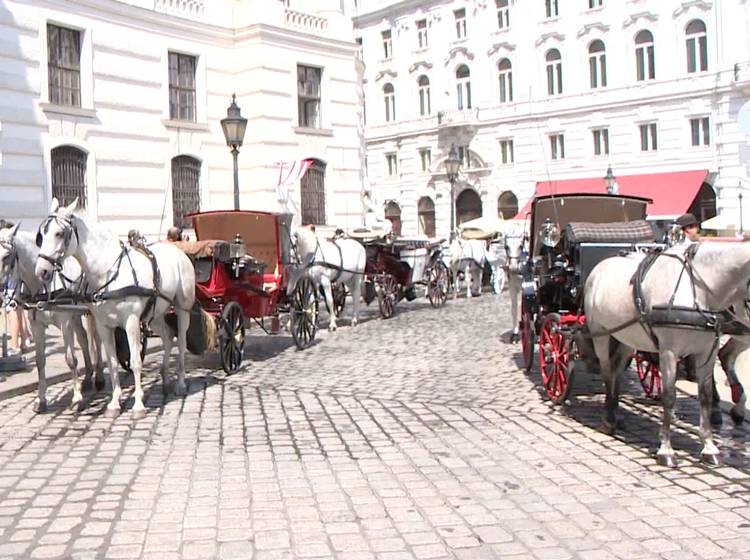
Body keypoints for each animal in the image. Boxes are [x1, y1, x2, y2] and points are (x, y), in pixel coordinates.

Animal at [0, 225, 104, 414]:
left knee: (98, 340)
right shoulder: (36, 325)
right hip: (75, 314)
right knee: (84, 339)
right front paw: (41, 400)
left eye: (6, 256)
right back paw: (87, 379)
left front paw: (77, 399)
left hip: (91, 312)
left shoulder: (65, 323)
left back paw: (99, 378)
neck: (44, 285)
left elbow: (71, 359)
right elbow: (40, 361)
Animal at [35, 199, 195, 418]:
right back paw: (165, 380)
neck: (107, 271)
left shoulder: (131, 322)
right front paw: (114, 403)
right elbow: (111, 362)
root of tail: (179, 252)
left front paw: (138, 405)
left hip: (182, 309)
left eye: (59, 233)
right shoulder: (104, 325)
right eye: (41, 235)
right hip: (155, 314)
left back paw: (180, 382)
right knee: (169, 337)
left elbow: (136, 361)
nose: (41, 271)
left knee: (181, 340)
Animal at [588, 243, 750, 466]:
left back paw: (615, 414)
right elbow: (669, 397)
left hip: (627, 338)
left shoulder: (707, 351)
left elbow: (705, 397)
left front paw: (709, 447)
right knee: (606, 372)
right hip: (600, 333)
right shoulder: (669, 351)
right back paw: (608, 419)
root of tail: (601, 265)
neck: (698, 291)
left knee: (616, 371)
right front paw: (666, 449)